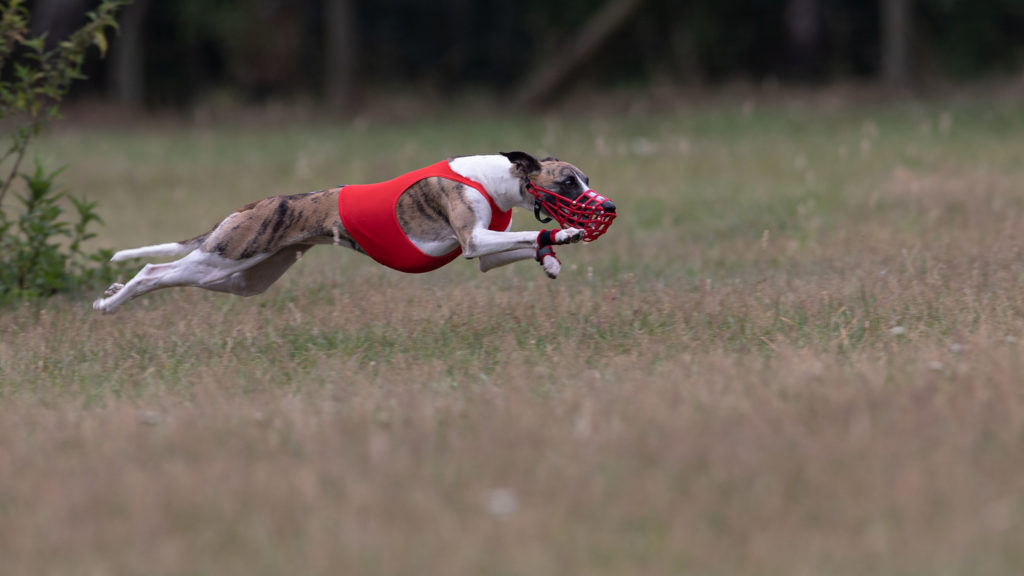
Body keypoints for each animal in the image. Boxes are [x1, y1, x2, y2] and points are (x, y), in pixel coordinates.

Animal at [94, 150, 614, 311]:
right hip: (225, 254)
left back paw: (114, 292)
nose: (608, 206)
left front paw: (550, 259)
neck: (496, 178)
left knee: (171, 276)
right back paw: (108, 303)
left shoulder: (485, 253)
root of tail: (254, 205)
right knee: (153, 272)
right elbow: (512, 238)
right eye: (569, 182)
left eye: (587, 177)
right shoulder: (473, 239)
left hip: (244, 276)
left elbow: (520, 245)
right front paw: (564, 237)